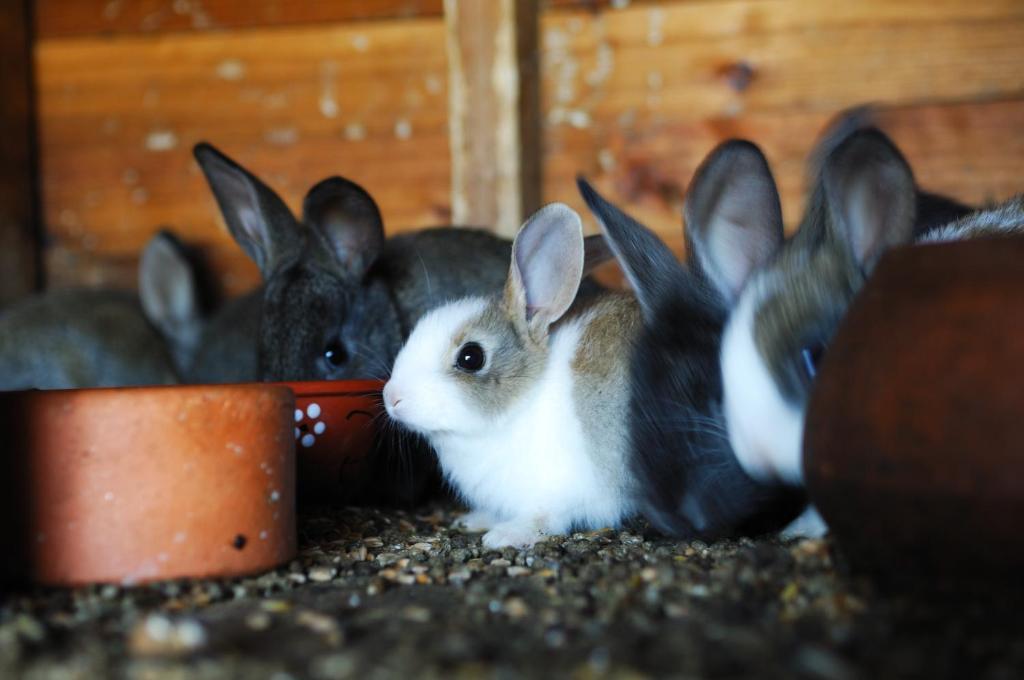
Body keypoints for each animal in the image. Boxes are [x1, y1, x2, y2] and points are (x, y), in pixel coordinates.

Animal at [380, 200, 643, 548]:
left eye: (471, 357)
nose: (392, 397)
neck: (524, 402)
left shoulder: (565, 493)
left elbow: (545, 518)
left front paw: (505, 535)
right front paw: (475, 520)